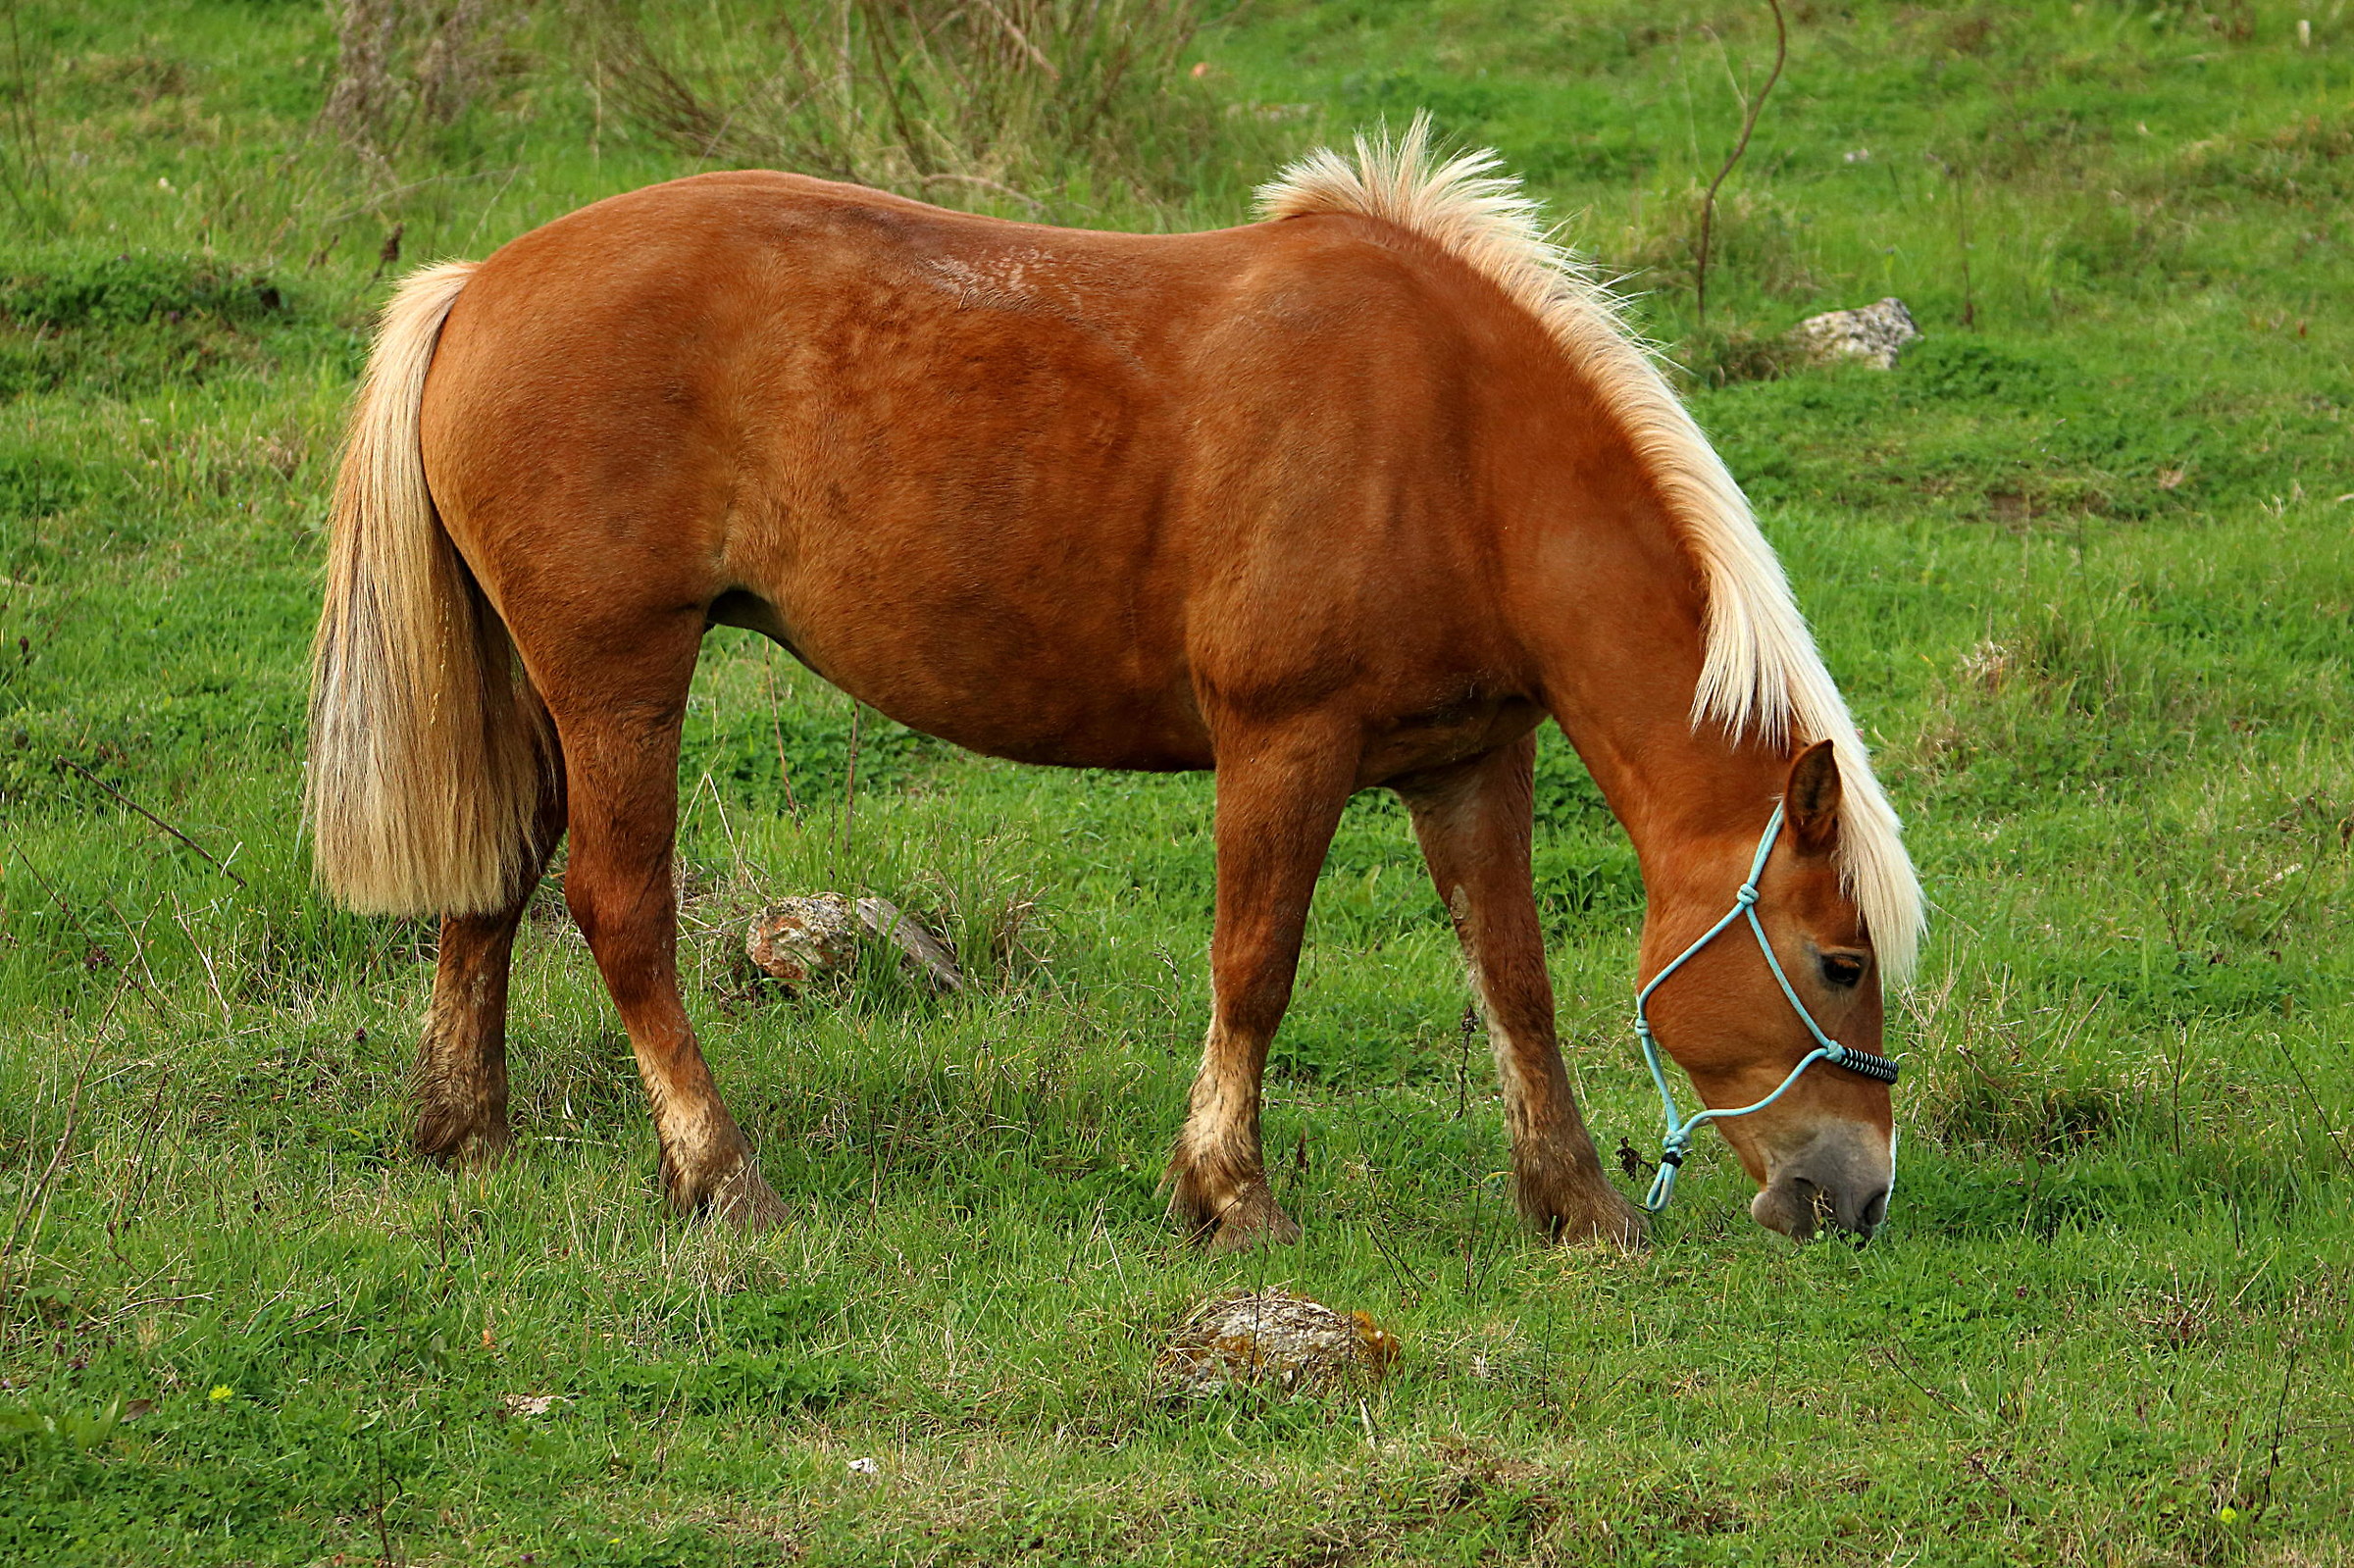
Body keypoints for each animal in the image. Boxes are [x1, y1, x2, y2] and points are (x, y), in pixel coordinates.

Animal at [307, 119, 1923, 1249]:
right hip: (620, 678)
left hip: (540, 691)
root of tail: (476, 284)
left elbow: (1512, 980)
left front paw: (1578, 1207)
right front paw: (1231, 1197)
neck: (1456, 448)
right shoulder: (1286, 744)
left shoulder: (1470, 760)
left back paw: (468, 1137)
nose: (1856, 1198)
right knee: (618, 906)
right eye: (1840, 959)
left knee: (492, 883)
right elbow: (1254, 966)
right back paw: (721, 1172)